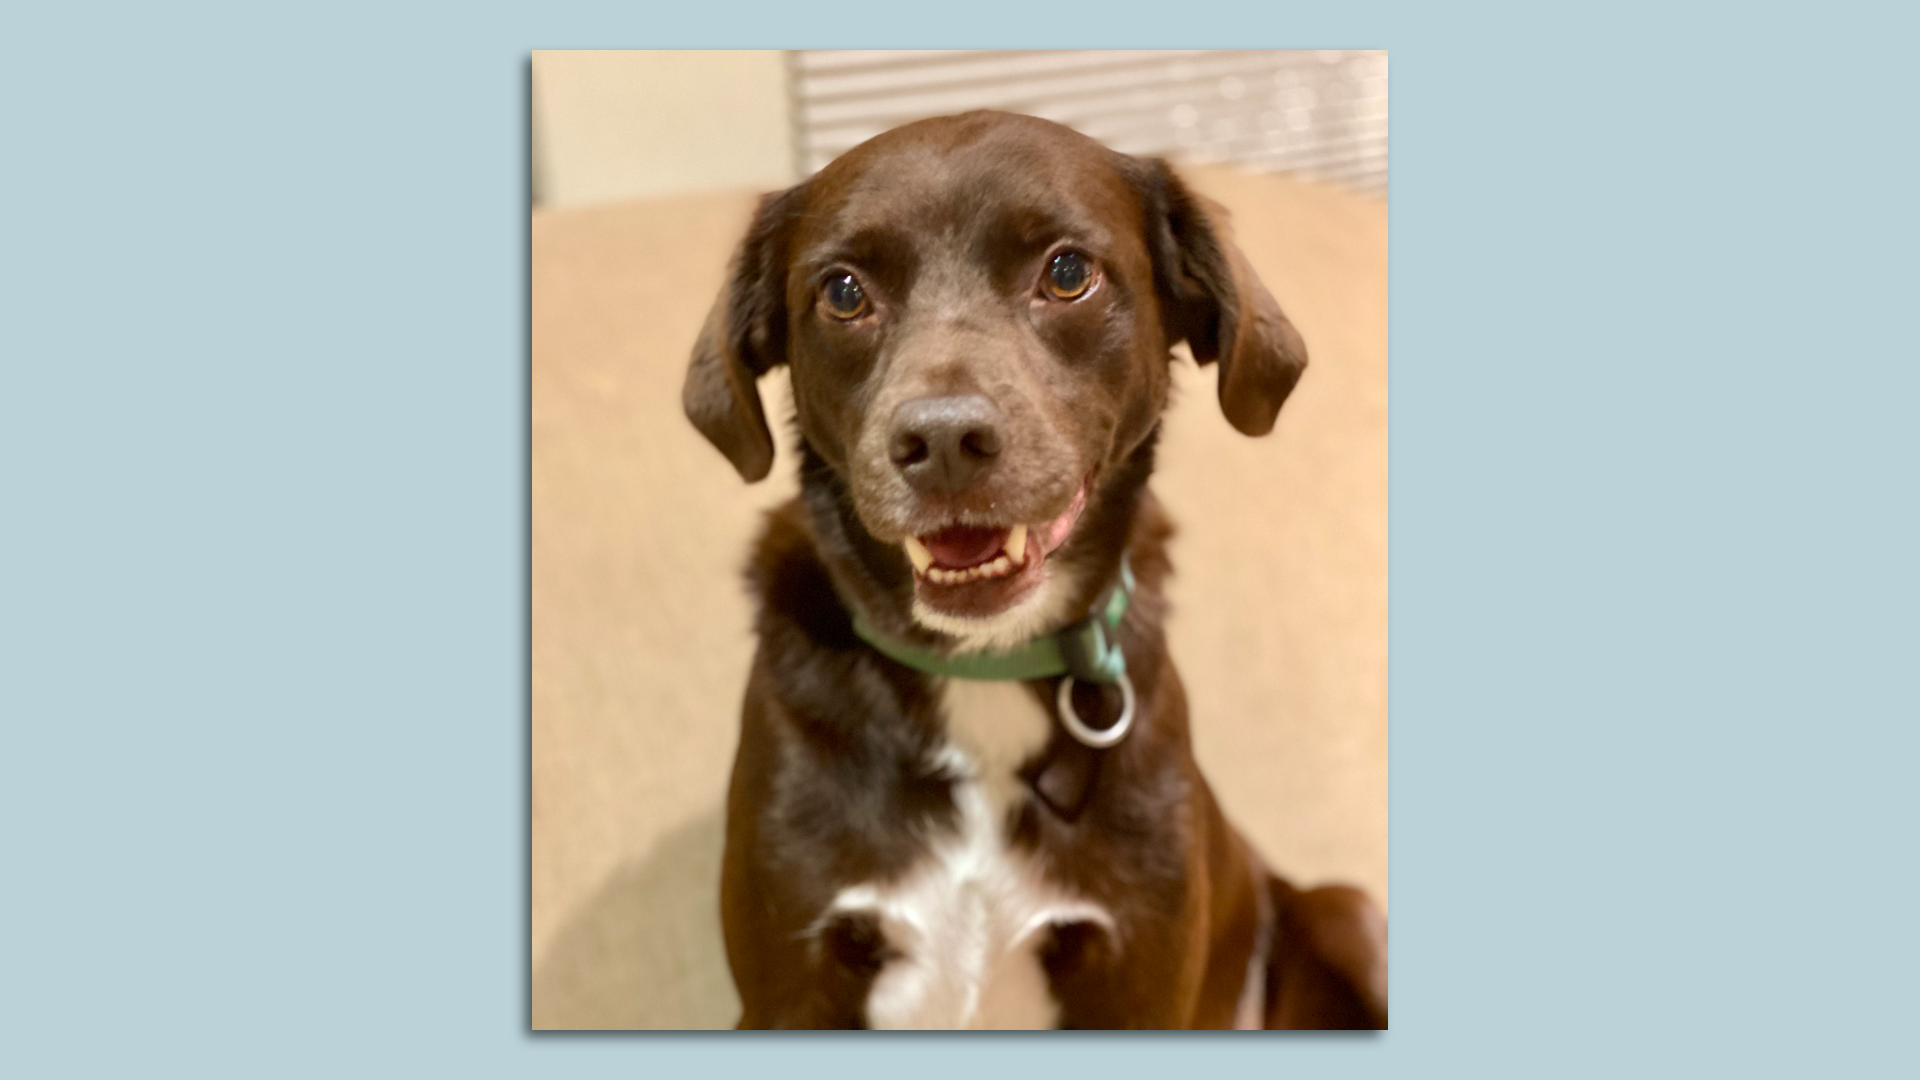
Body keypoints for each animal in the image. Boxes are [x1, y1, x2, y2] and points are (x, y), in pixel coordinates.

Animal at [683, 111, 1390, 1022]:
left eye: (1067, 272)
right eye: (842, 293)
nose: (944, 441)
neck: (980, 671)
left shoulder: (1145, 984)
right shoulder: (786, 988)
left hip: (1350, 914)